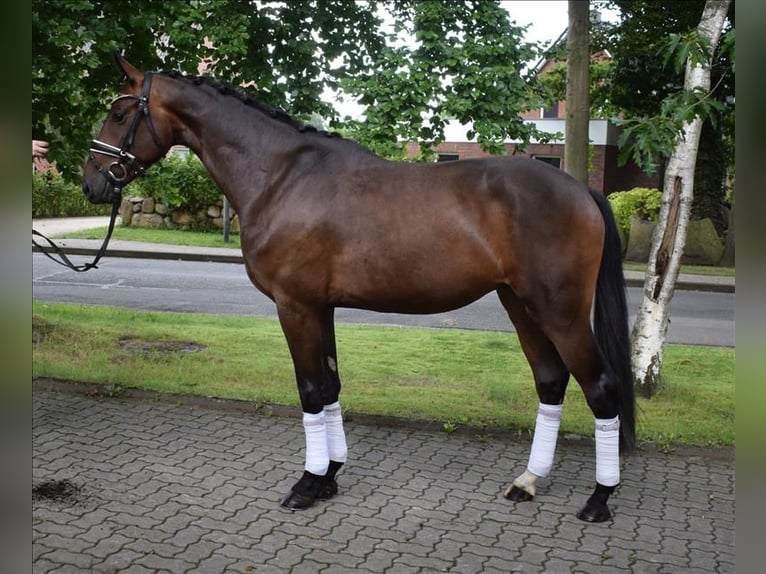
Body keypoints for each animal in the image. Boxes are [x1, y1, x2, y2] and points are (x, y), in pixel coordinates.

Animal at [82, 53, 636, 520]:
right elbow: (330, 386)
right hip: (520, 304)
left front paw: (306, 484)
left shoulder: (296, 306)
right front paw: (330, 475)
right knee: (551, 380)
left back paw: (599, 499)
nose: (91, 183)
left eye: (118, 112)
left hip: (559, 311)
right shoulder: (320, 307)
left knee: (600, 388)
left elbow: (309, 389)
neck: (282, 175)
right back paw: (528, 481)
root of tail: (581, 190)